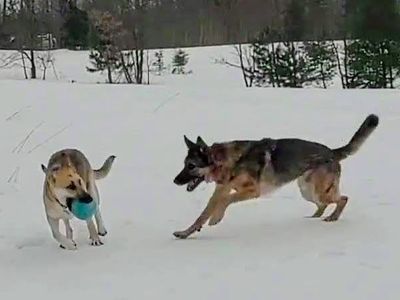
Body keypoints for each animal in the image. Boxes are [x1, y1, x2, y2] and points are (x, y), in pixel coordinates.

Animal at [173, 115, 380, 239]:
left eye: (191, 166)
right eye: (184, 164)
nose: (175, 181)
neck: (226, 161)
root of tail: (332, 152)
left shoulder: (252, 191)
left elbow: (226, 201)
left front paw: (216, 218)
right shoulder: (221, 190)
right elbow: (202, 214)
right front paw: (186, 232)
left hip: (318, 190)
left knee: (343, 199)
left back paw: (332, 218)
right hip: (307, 191)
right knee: (323, 205)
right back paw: (312, 218)